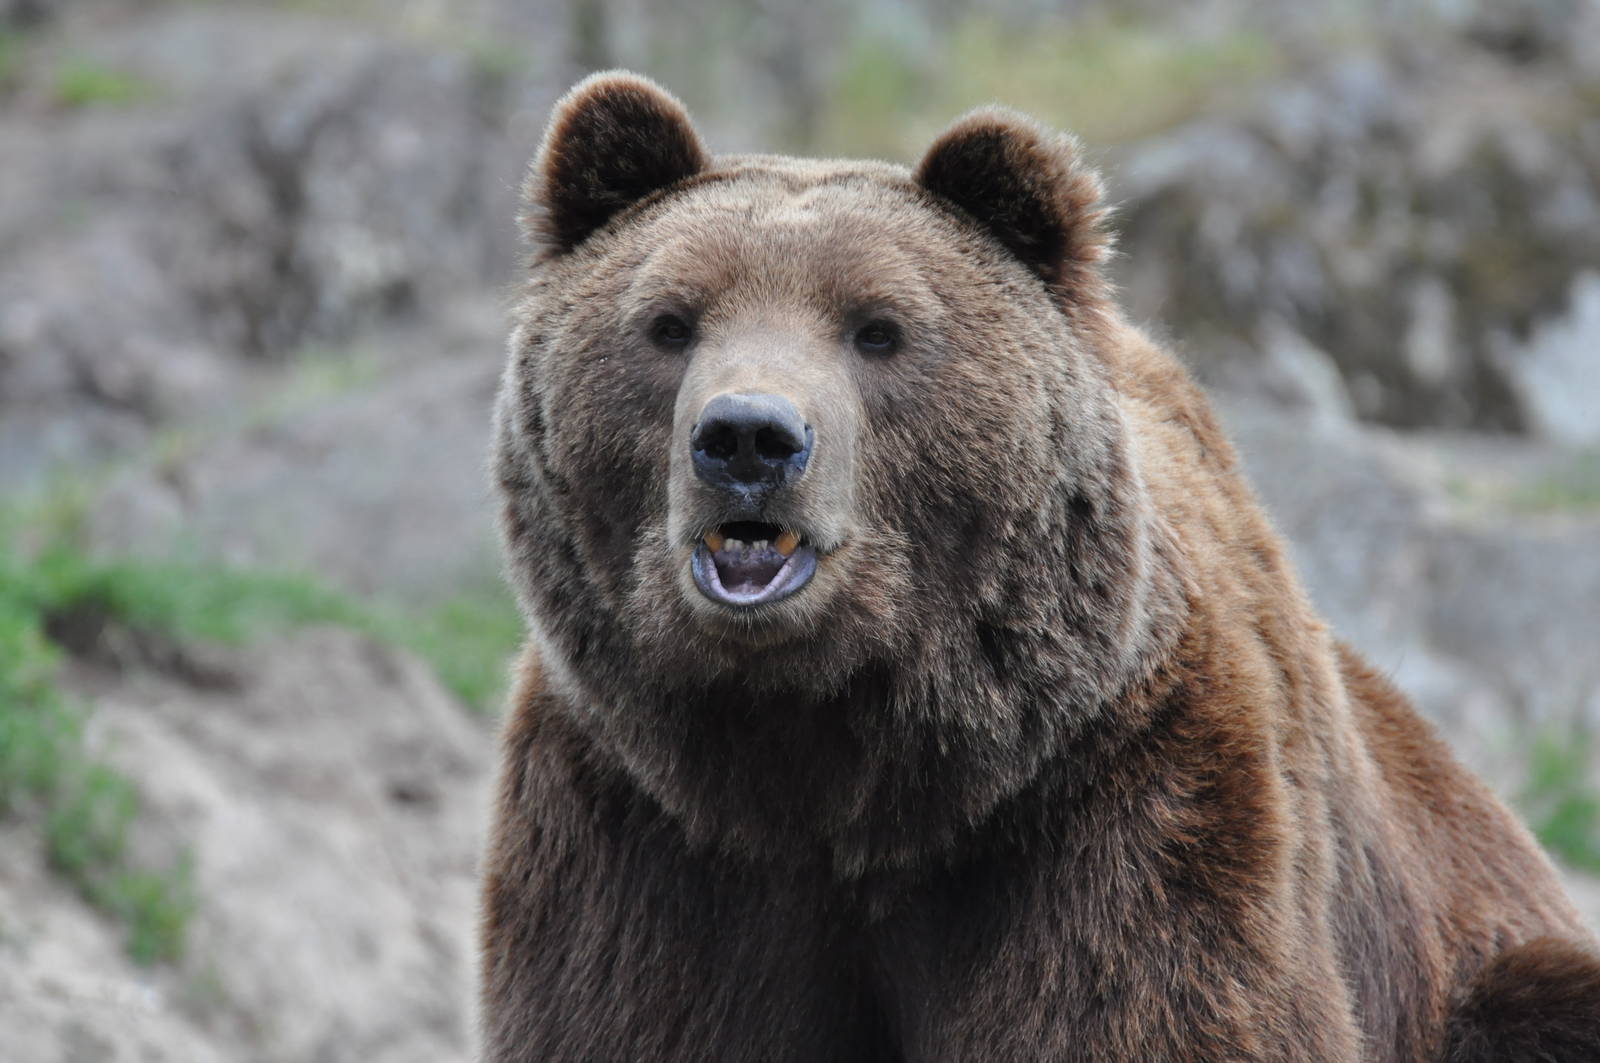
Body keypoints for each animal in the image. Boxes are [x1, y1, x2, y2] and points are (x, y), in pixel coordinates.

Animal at [479, 71, 1600, 1062]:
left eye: (878, 329)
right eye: (669, 322)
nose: (748, 437)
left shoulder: (1126, 793)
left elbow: (1150, 1010)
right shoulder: (642, 826)